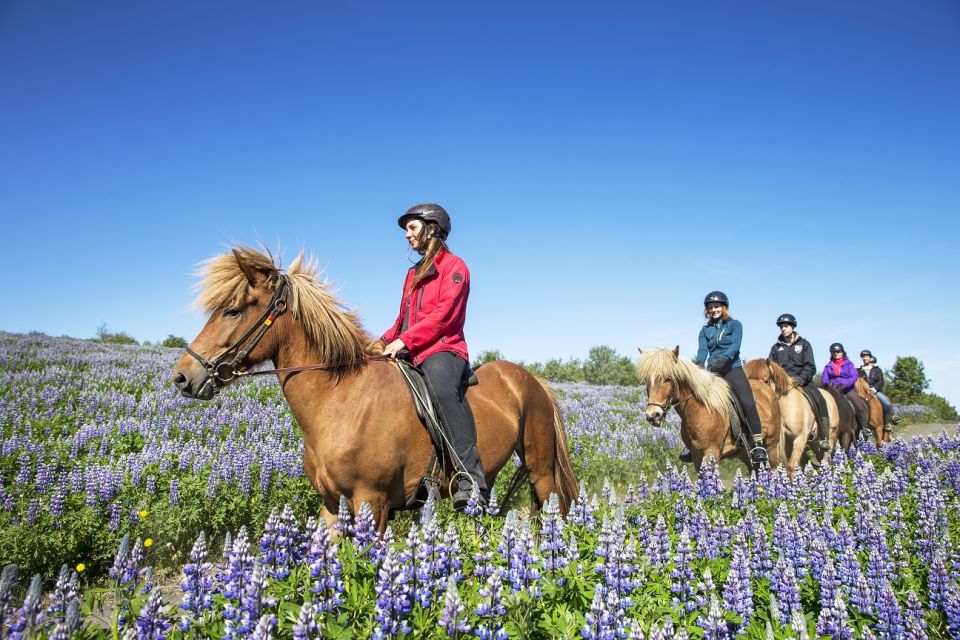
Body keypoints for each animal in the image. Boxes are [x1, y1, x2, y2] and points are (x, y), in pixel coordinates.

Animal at [172, 248, 576, 532]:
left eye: (233, 310)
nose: (182, 377)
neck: (340, 400)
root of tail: (532, 381)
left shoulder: (374, 503)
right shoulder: (333, 505)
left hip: (541, 470)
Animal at [632, 348, 784, 472]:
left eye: (668, 379)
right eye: (646, 380)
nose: (653, 415)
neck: (700, 410)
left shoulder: (711, 452)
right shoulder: (696, 456)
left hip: (771, 446)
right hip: (744, 452)